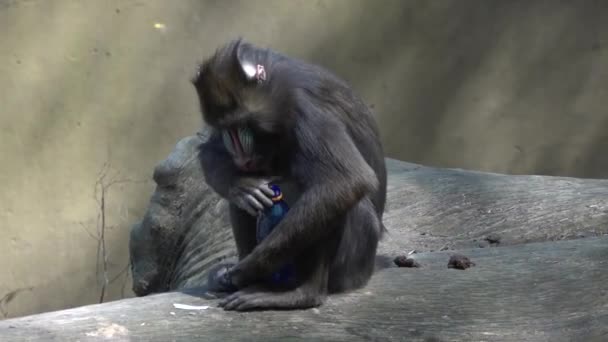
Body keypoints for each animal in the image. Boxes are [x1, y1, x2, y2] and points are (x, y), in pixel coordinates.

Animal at [192, 38, 388, 312]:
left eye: (241, 125)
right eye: (225, 129)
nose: (240, 156)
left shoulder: (306, 110)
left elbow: (348, 181)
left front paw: (248, 268)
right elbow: (210, 150)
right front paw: (242, 186)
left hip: (352, 263)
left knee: (332, 198)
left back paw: (303, 293)